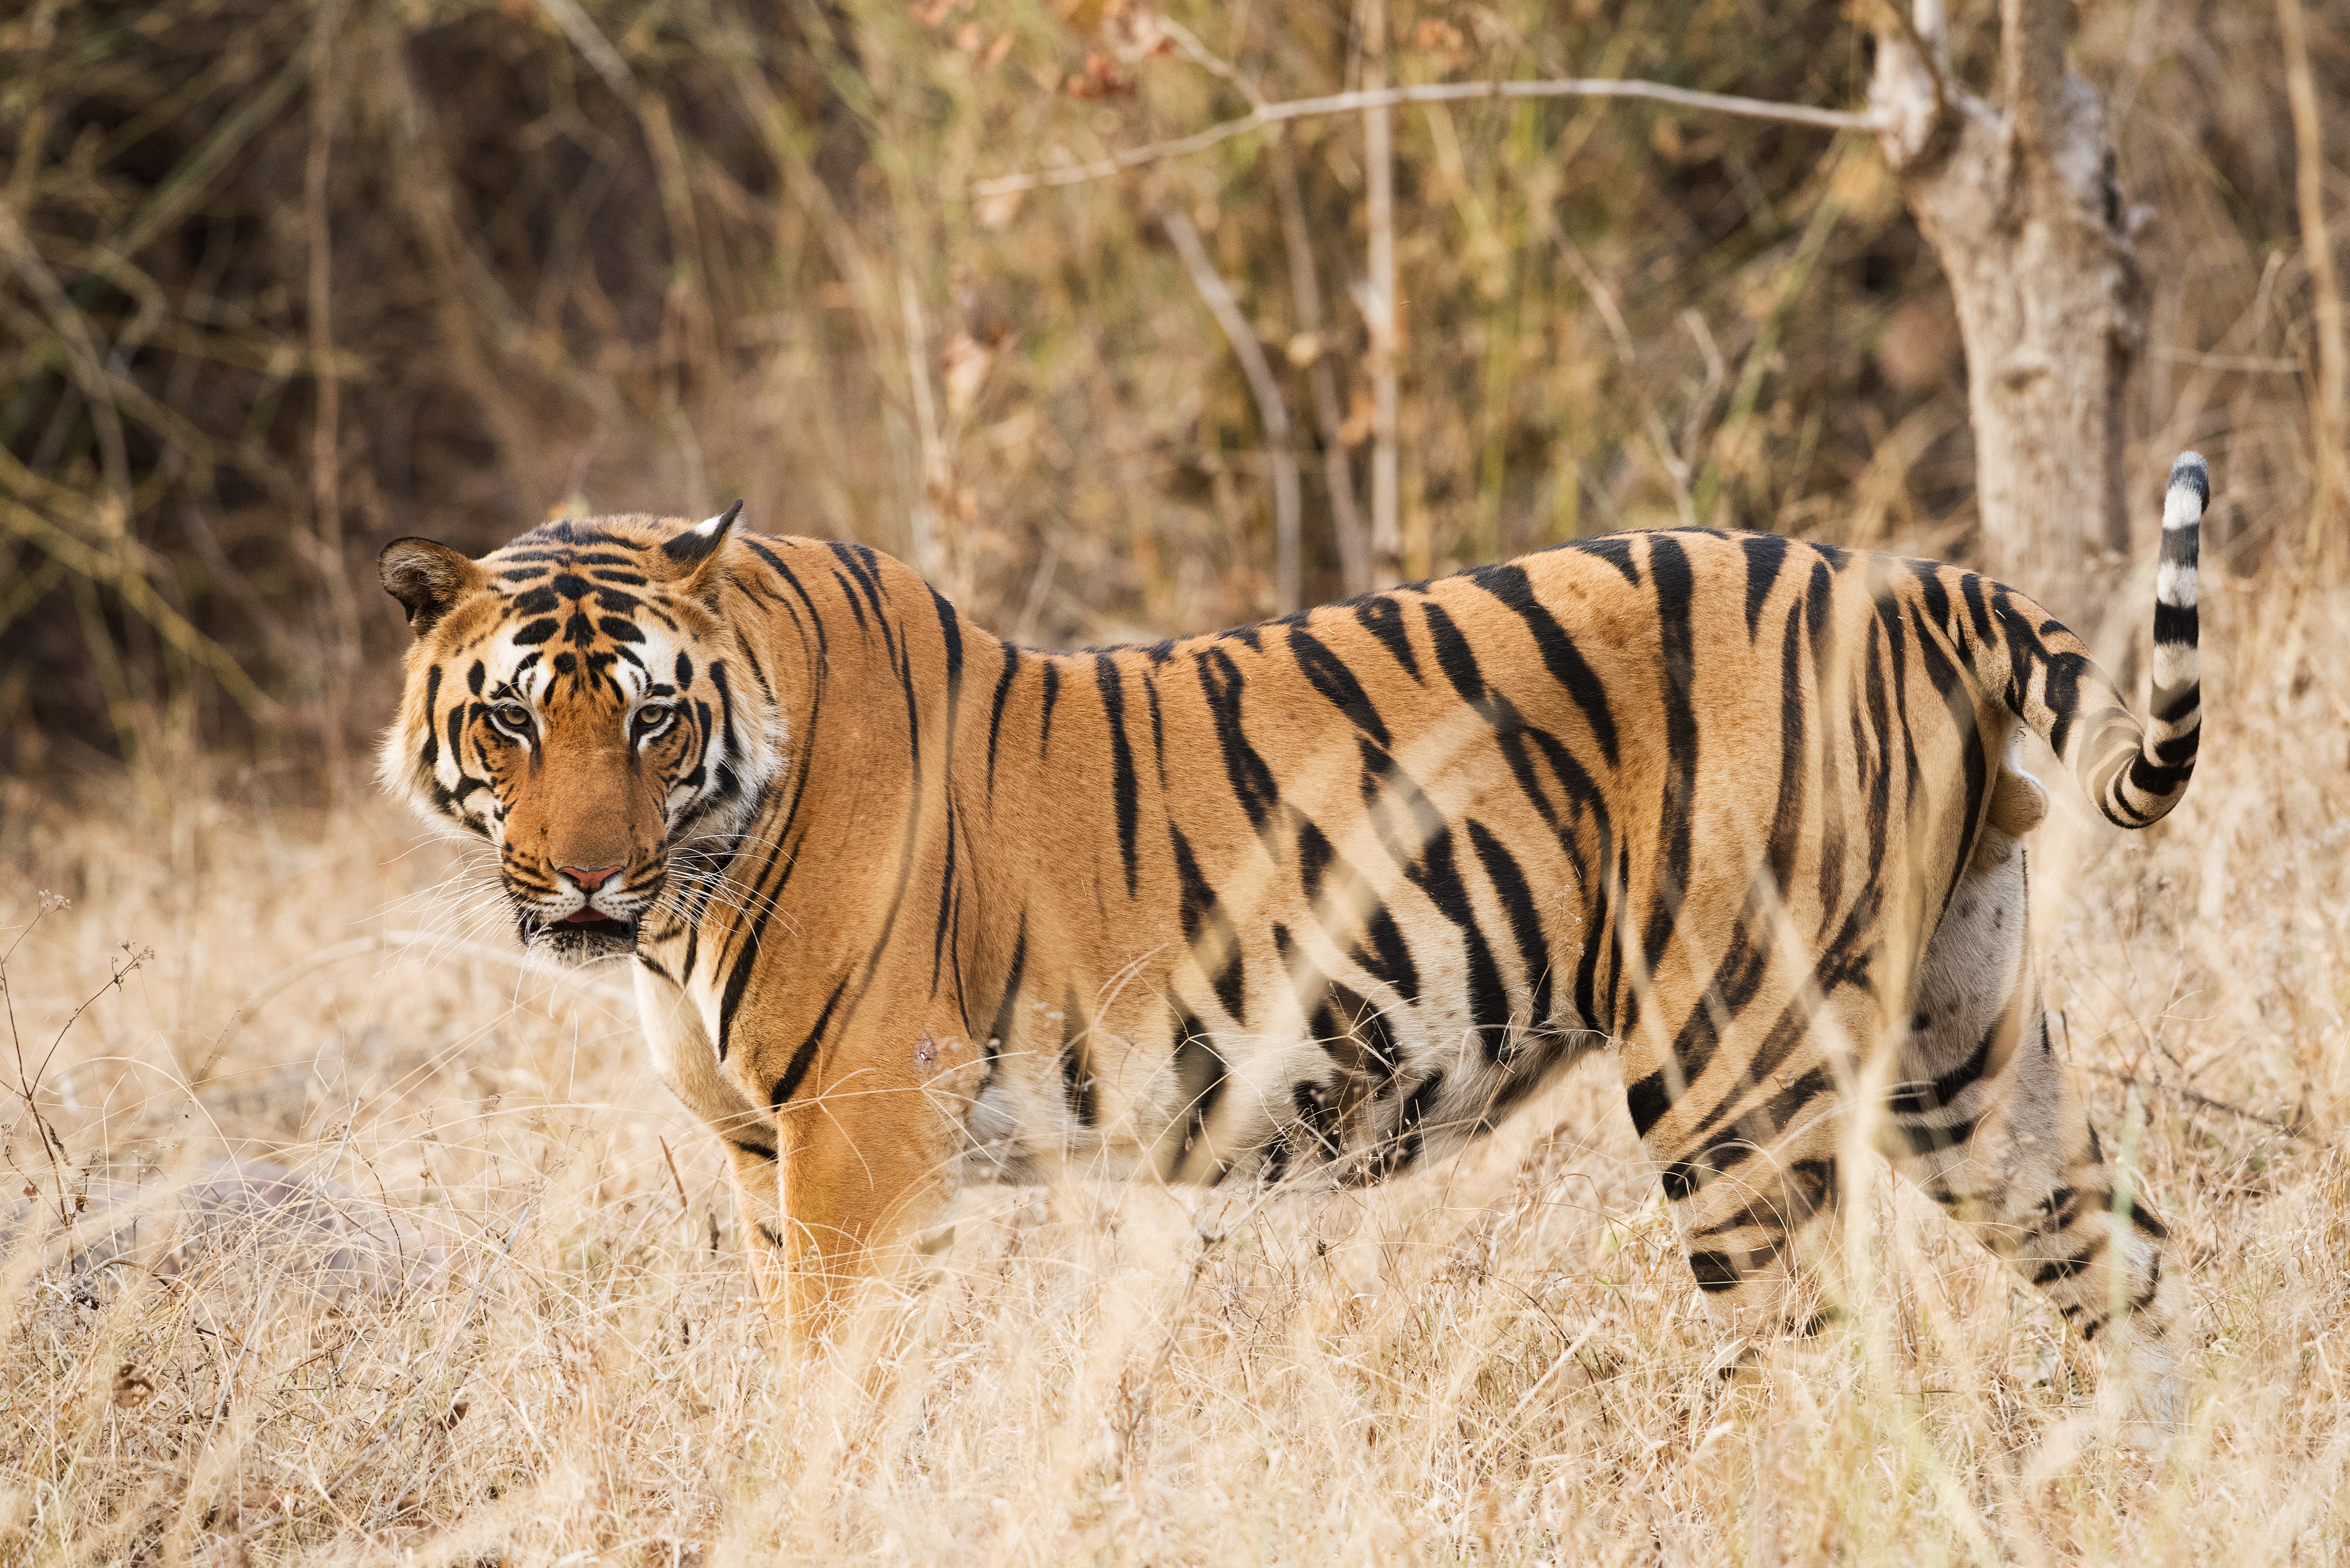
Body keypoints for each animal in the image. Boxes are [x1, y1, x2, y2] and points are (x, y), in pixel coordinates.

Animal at [376, 451, 2209, 1410]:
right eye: (516, 723)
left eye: (652, 721)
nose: (585, 883)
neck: (689, 887)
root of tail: (1910, 580)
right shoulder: (767, 1153)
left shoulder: (860, 1140)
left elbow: (832, 1391)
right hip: (1960, 1041)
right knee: (2122, 1257)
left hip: (1731, 1069)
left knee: (1827, 1366)